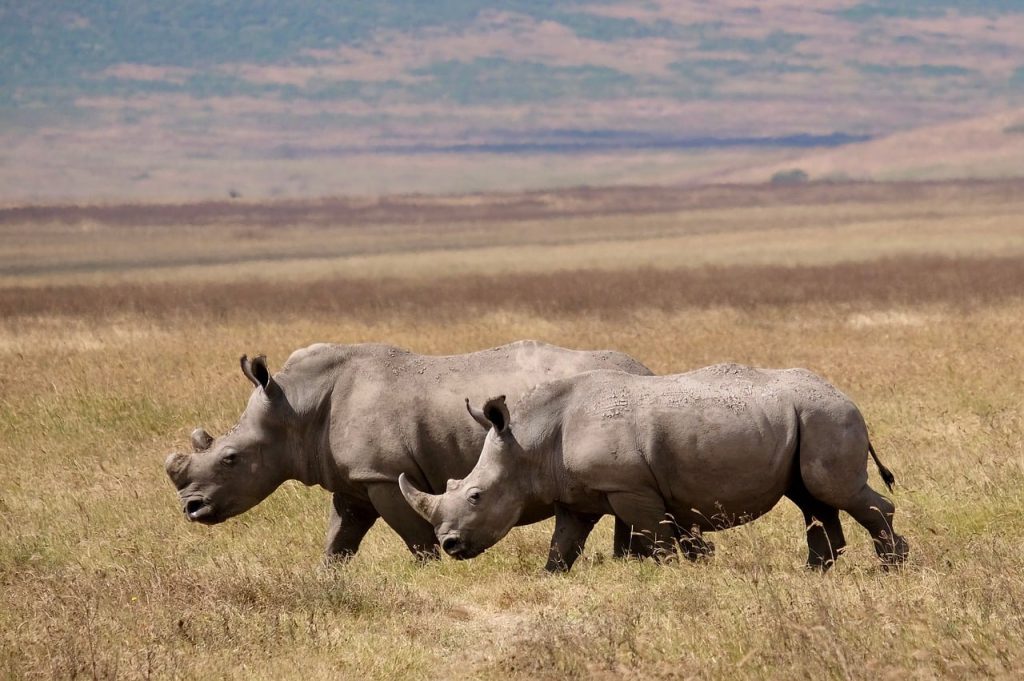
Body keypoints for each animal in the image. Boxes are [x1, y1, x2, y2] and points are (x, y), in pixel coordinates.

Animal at [164, 341, 652, 561]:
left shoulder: (382, 473)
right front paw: (327, 579)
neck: (295, 407)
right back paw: (626, 563)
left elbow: (416, 538)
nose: (190, 509)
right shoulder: (354, 479)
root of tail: (644, 370)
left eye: (230, 459)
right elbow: (338, 539)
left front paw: (435, 571)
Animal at [399, 364, 909, 572]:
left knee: (832, 491)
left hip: (828, 417)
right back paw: (818, 572)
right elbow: (563, 545)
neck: (529, 441)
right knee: (811, 498)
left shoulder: (629, 487)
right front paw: (550, 577)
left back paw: (891, 567)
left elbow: (657, 538)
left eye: (476, 495)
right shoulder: (576, 495)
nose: (449, 545)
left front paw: (671, 574)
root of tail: (848, 396)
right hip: (809, 418)